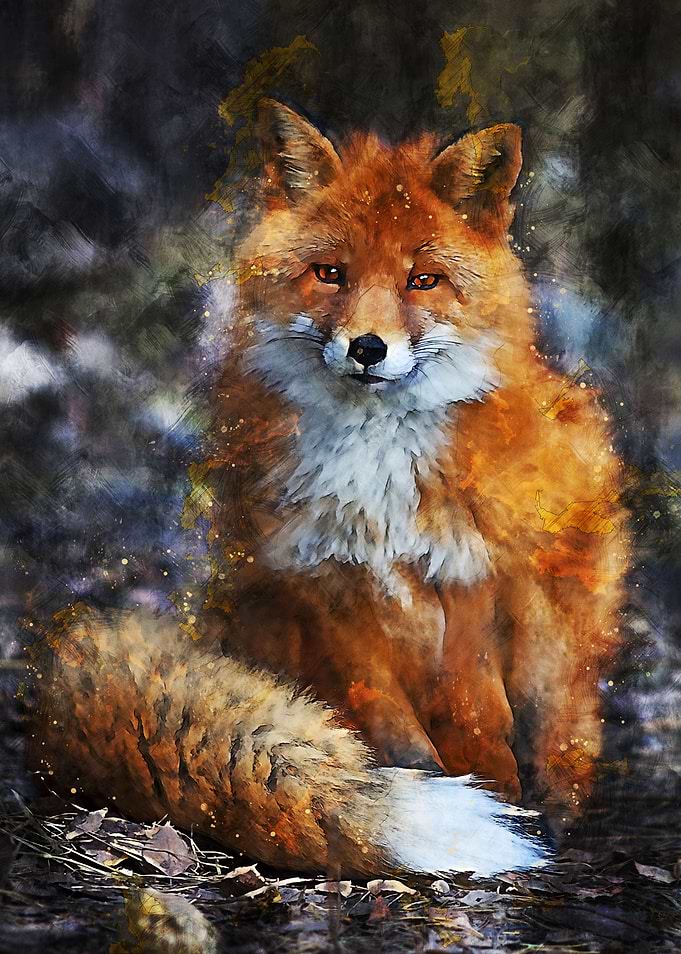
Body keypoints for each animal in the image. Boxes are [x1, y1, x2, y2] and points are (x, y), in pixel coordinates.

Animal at [33, 100, 630, 878]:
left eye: (422, 281)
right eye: (330, 273)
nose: (368, 348)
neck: (378, 477)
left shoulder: (472, 573)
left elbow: (474, 713)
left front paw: (501, 800)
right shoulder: (326, 583)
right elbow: (389, 723)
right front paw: (420, 791)